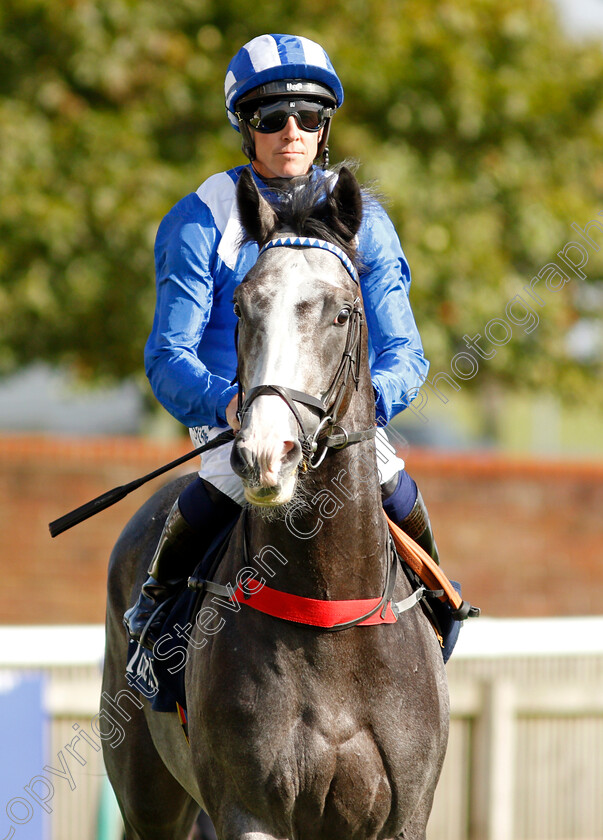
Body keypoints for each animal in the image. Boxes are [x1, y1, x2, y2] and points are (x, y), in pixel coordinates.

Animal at [101, 167, 448, 836]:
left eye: (342, 312)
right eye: (241, 304)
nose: (267, 451)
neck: (332, 616)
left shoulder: (404, 815)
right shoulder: (249, 808)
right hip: (146, 795)